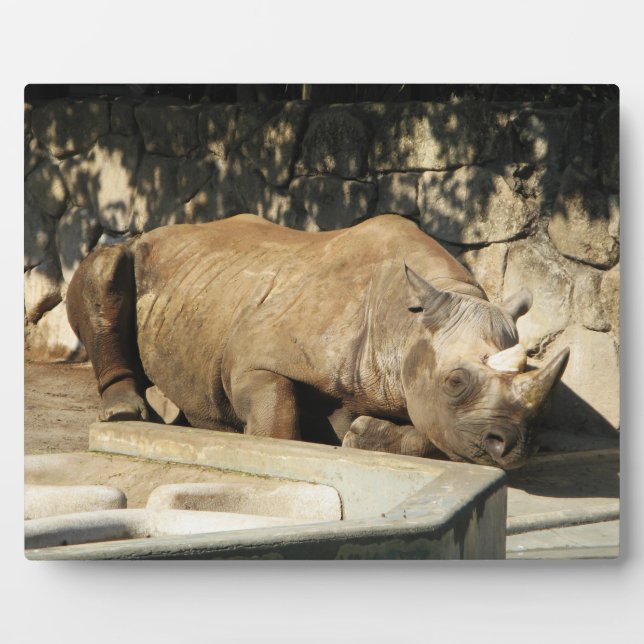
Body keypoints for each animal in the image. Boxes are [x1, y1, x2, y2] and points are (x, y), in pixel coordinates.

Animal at [67, 214, 569, 470]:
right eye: (456, 382)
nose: (514, 445)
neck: (404, 325)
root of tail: (158, 231)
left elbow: (436, 434)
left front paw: (362, 434)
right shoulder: (254, 360)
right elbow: (277, 416)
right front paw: (274, 445)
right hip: (139, 253)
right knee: (106, 265)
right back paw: (126, 413)